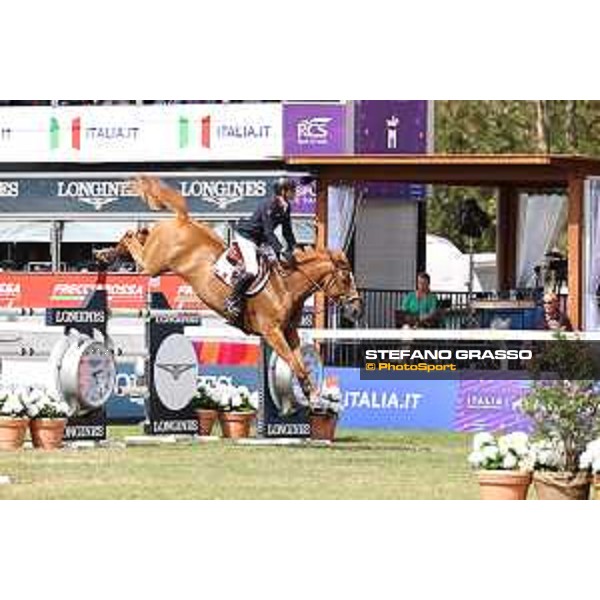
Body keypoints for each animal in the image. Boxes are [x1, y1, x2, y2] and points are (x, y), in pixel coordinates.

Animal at [96, 178, 360, 404]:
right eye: (345, 278)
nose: (356, 310)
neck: (286, 288)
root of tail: (183, 219)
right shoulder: (272, 332)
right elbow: (295, 364)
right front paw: (314, 397)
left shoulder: (289, 331)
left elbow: (301, 364)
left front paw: (313, 395)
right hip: (152, 265)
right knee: (133, 241)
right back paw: (104, 254)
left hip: (156, 259)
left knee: (138, 235)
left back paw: (105, 254)